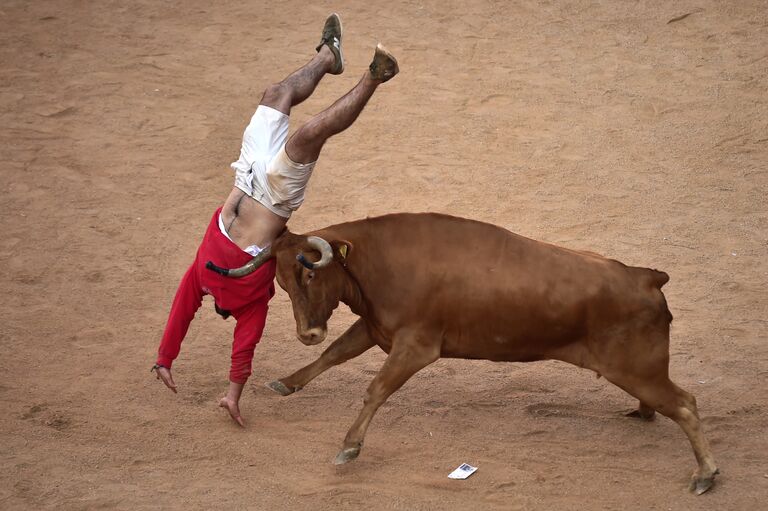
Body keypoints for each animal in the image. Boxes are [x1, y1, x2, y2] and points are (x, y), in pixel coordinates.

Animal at [207, 213, 716, 496]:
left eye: (311, 274)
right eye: (281, 282)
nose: (307, 333)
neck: (376, 261)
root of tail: (647, 276)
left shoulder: (415, 347)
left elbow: (375, 390)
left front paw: (350, 446)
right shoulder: (376, 328)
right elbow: (335, 354)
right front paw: (289, 381)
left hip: (636, 368)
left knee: (686, 404)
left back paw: (706, 473)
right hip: (637, 370)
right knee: (668, 402)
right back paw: (644, 414)